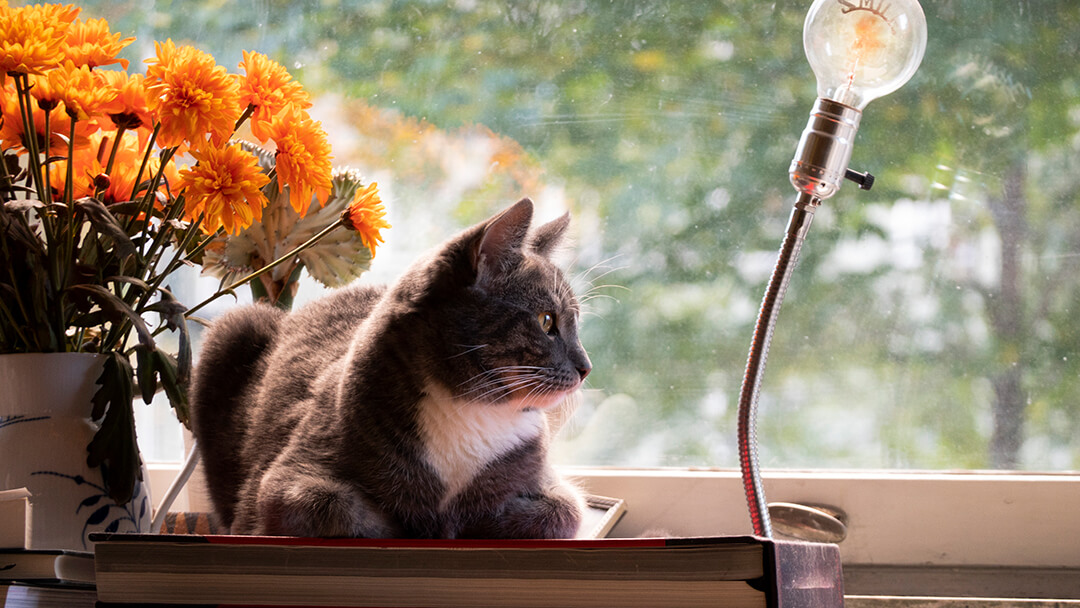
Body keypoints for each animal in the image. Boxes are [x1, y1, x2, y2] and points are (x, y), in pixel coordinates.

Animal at [187, 197, 591, 539]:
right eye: (546, 320)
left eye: (576, 321)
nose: (586, 367)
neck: (472, 410)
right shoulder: (283, 481)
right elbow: (334, 505)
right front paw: (414, 523)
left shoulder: (549, 482)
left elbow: (564, 511)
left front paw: (475, 520)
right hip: (233, 328)